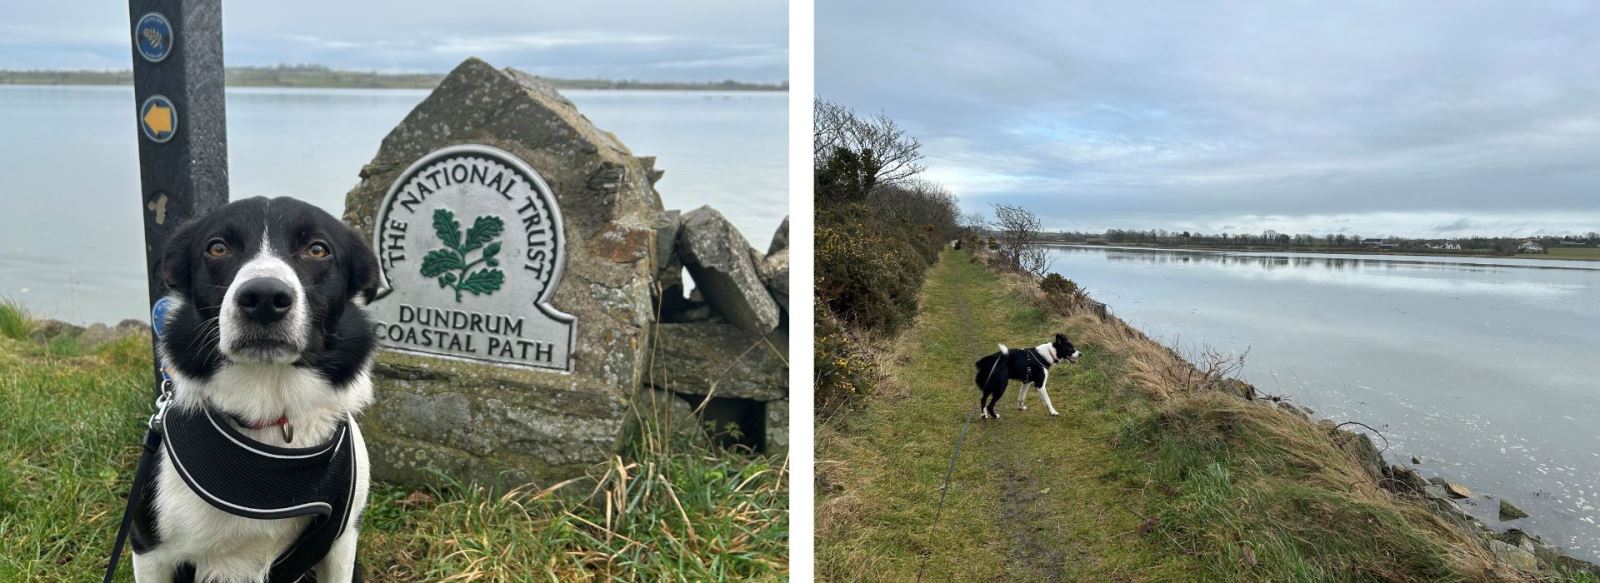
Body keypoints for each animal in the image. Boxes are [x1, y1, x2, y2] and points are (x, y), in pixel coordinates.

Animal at [132, 197, 379, 583]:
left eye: (317, 249)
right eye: (217, 247)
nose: (264, 297)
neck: (272, 416)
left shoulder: (342, 542)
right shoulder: (149, 549)